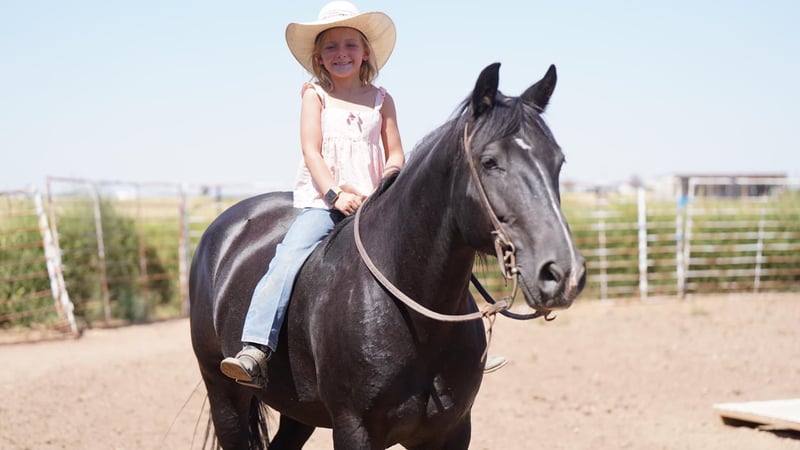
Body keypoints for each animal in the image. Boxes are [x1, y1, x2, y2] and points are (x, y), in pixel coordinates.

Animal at [189, 62, 586, 449]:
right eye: (490, 162)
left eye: (559, 161)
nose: (563, 273)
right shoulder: (354, 430)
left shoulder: (452, 430)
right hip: (224, 394)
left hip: (298, 410)